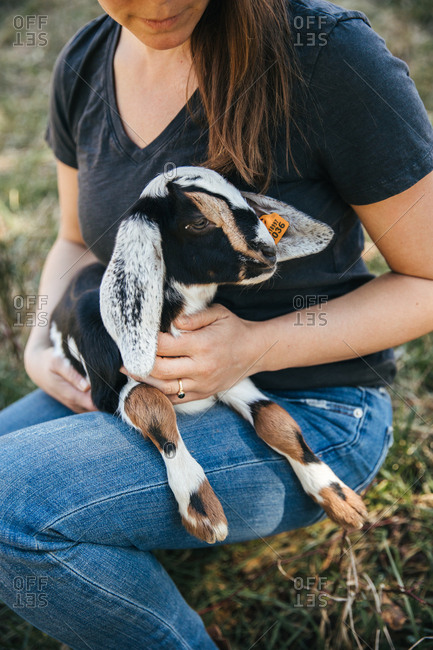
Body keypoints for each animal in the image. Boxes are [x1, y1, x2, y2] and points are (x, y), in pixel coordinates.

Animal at [50, 167, 368, 544]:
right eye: (198, 221)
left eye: (246, 202)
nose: (268, 251)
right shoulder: (107, 390)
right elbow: (151, 405)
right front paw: (202, 510)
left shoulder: (227, 376)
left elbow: (277, 420)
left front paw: (341, 499)